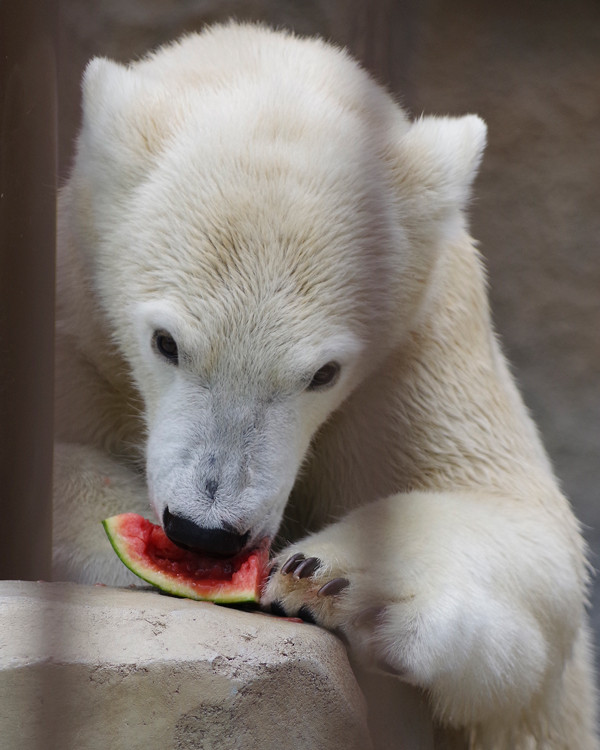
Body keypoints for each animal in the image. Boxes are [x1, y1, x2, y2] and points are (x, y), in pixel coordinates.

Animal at [54, 20, 596, 748]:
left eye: (323, 373)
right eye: (165, 342)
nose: (206, 534)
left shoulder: (417, 350)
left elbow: (527, 531)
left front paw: (331, 577)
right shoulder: (77, 325)